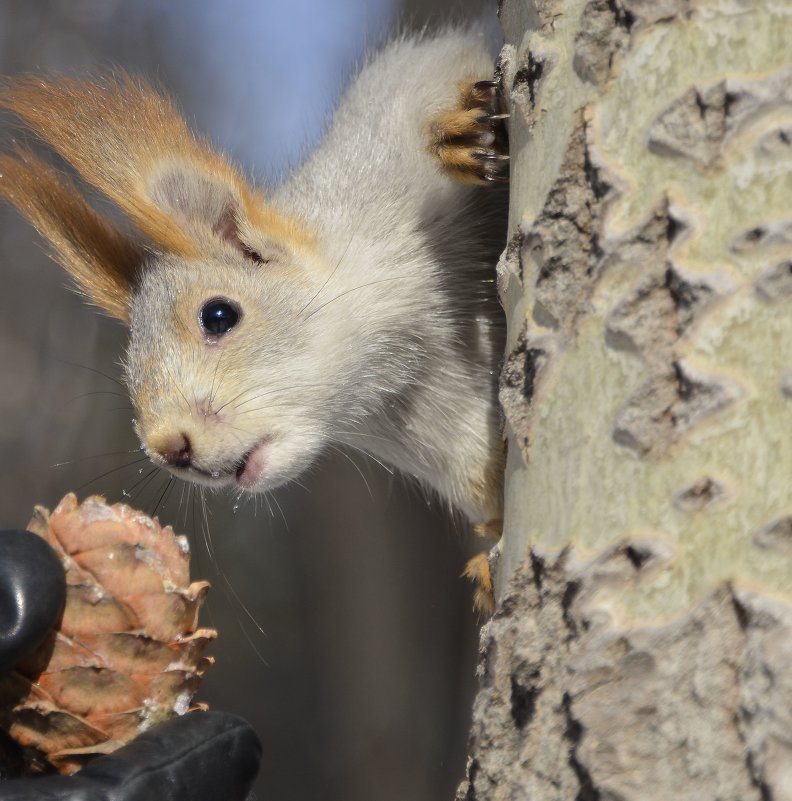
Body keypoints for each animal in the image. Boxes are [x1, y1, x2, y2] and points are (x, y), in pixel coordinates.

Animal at [0, 23, 508, 612]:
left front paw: (458, 135)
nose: (169, 449)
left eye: (219, 315)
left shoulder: (385, 127)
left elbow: (446, 60)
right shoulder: (457, 447)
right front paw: (490, 559)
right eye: (127, 372)